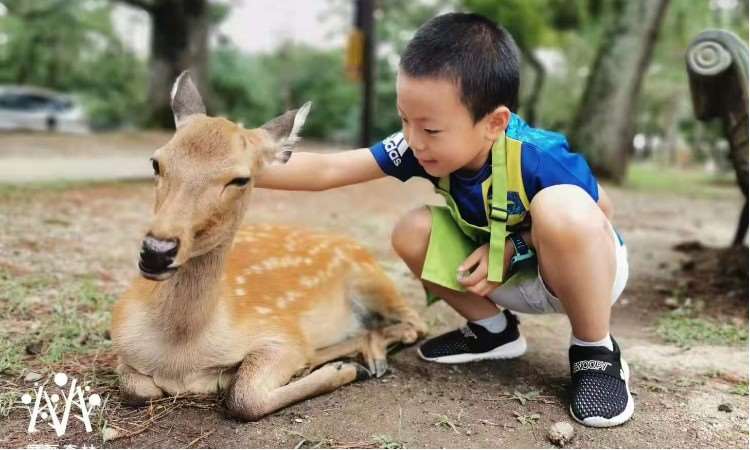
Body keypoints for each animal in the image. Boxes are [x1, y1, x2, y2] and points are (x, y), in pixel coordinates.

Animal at [111, 73, 428, 422]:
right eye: (156, 162)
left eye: (240, 179)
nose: (157, 251)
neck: (180, 354)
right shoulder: (121, 344)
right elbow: (136, 388)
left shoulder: (280, 332)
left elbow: (244, 397)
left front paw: (343, 370)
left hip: (373, 280)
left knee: (416, 323)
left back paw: (366, 359)